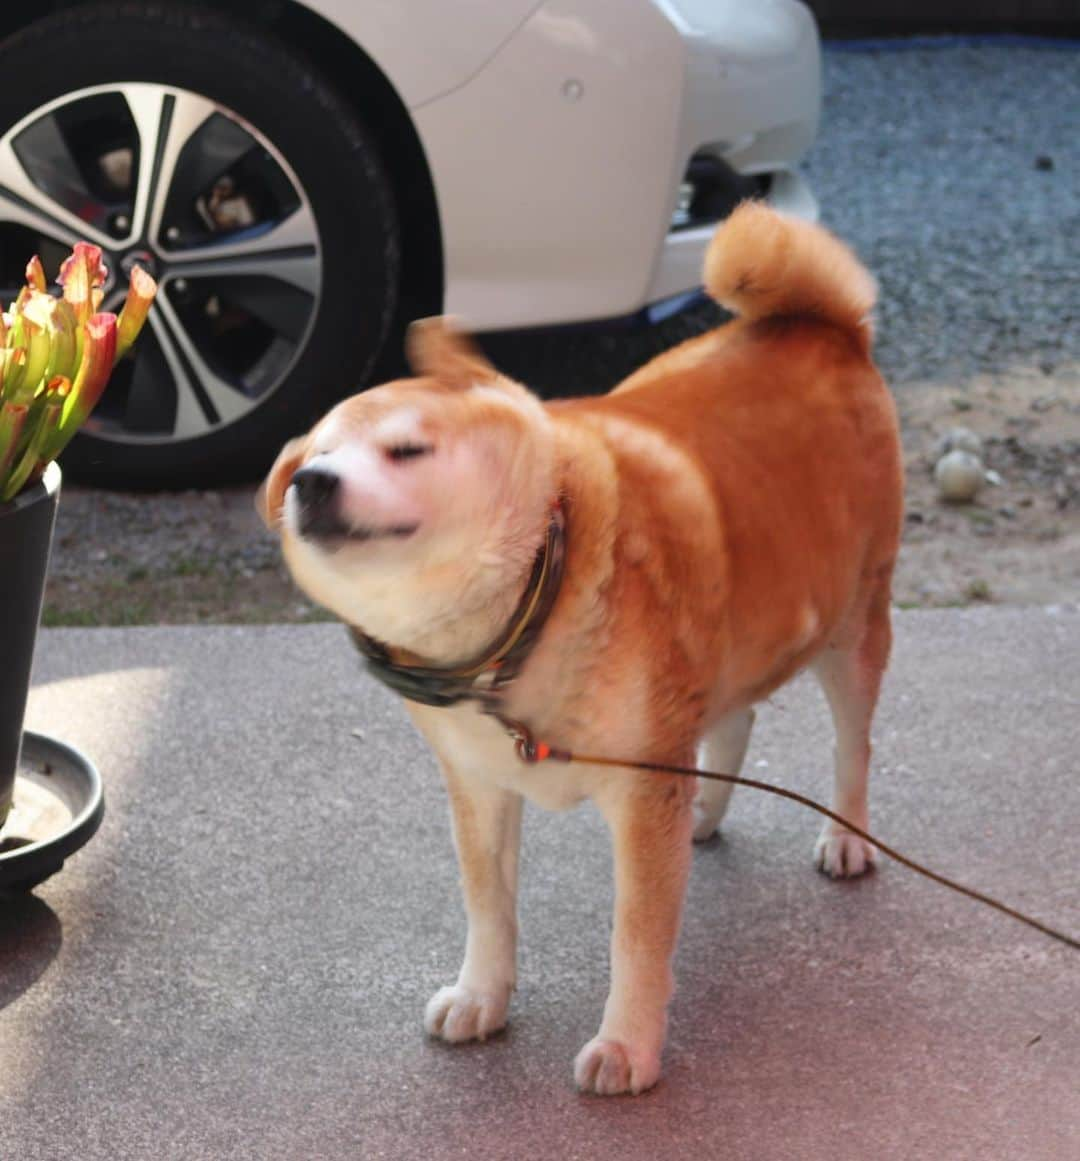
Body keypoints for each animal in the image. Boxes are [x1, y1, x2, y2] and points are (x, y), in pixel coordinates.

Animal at [258, 204, 901, 1091]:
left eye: (406, 449)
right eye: (311, 459)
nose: (310, 483)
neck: (528, 611)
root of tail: (824, 326)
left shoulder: (640, 791)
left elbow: (637, 936)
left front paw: (628, 1044)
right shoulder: (480, 783)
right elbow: (488, 905)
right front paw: (482, 995)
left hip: (852, 627)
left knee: (853, 744)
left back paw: (847, 833)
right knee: (733, 716)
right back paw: (707, 809)